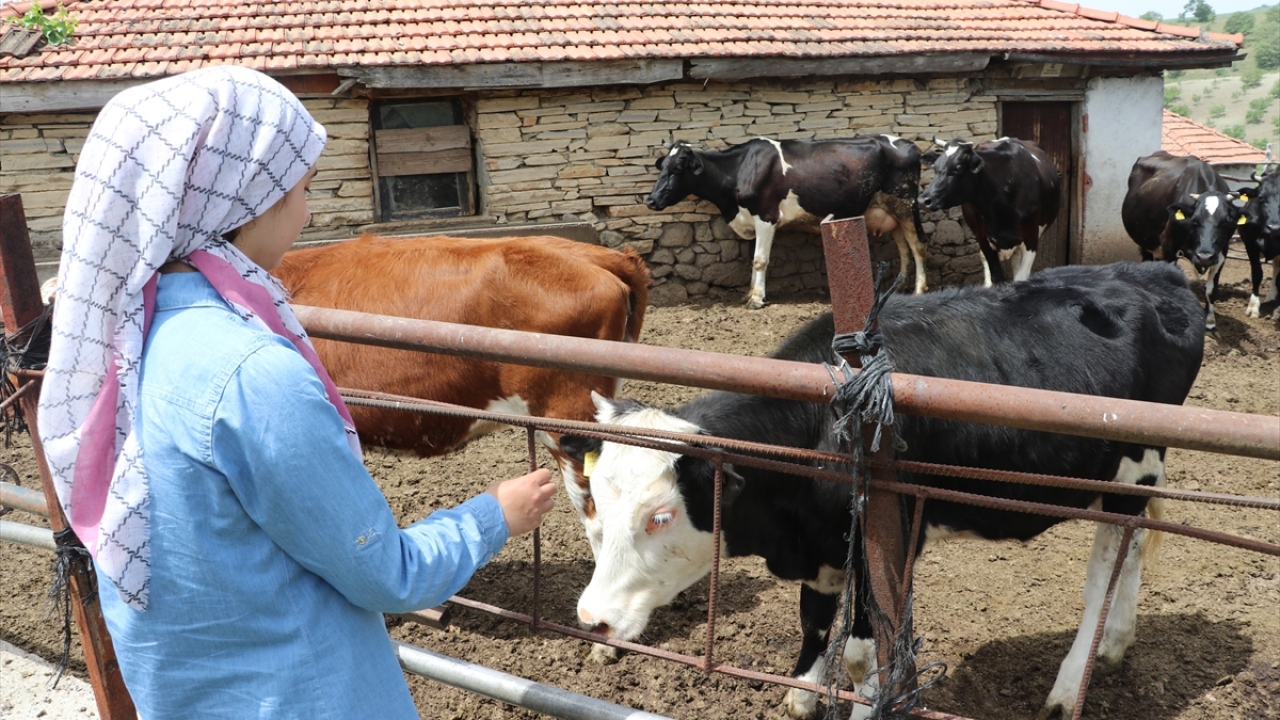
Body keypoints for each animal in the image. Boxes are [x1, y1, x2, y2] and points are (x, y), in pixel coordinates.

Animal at [562, 261, 1204, 720]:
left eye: (661, 516)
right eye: (595, 504)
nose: (591, 617)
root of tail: (1157, 273)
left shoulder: (883, 540)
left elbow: (860, 652)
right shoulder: (823, 547)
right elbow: (816, 622)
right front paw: (802, 693)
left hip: (1133, 470)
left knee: (1105, 571)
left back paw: (1068, 691)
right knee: (1133, 550)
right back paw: (1115, 645)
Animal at [645, 136, 928, 309]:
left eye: (678, 167)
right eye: (663, 166)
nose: (650, 200)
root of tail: (909, 144)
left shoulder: (767, 216)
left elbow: (760, 260)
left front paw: (757, 299)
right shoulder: (752, 219)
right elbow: (753, 259)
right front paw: (750, 292)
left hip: (905, 203)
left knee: (917, 245)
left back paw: (919, 290)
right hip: (889, 210)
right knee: (903, 246)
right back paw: (900, 287)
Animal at [918, 137, 1062, 287]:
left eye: (957, 168)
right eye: (935, 168)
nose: (923, 200)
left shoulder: (1032, 238)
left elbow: (1021, 278)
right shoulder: (983, 239)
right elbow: (996, 278)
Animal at [1121, 150, 1243, 332]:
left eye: (1225, 222)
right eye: (1195, 221)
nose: (1204, 257)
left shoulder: (1222, 253)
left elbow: (1211, 290)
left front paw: (1210, 322)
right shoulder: (1169, 247)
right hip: (1145, 241)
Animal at [1238, 166, 1280, 319]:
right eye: (1261, 197)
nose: (1274, 227)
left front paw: (1278, 310)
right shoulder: (1251, 245)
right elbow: (1257, 274)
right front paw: (1253, 307)